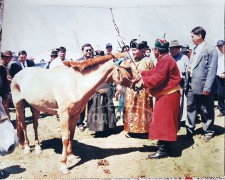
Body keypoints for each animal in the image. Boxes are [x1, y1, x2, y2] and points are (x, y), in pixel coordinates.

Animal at [11, 53, 141, 174]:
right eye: (128, 67)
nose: (141, 84)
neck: (75, 83)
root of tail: (18, 74)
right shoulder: (64, 115)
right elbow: (65, 138)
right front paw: (63, 166)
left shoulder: (75, 114)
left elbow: (71, 136)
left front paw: (71, 156)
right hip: (19, 105)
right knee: (23, 124)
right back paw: (27, 148)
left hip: (35, 107)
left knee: (35, 125)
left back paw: (38, 148)